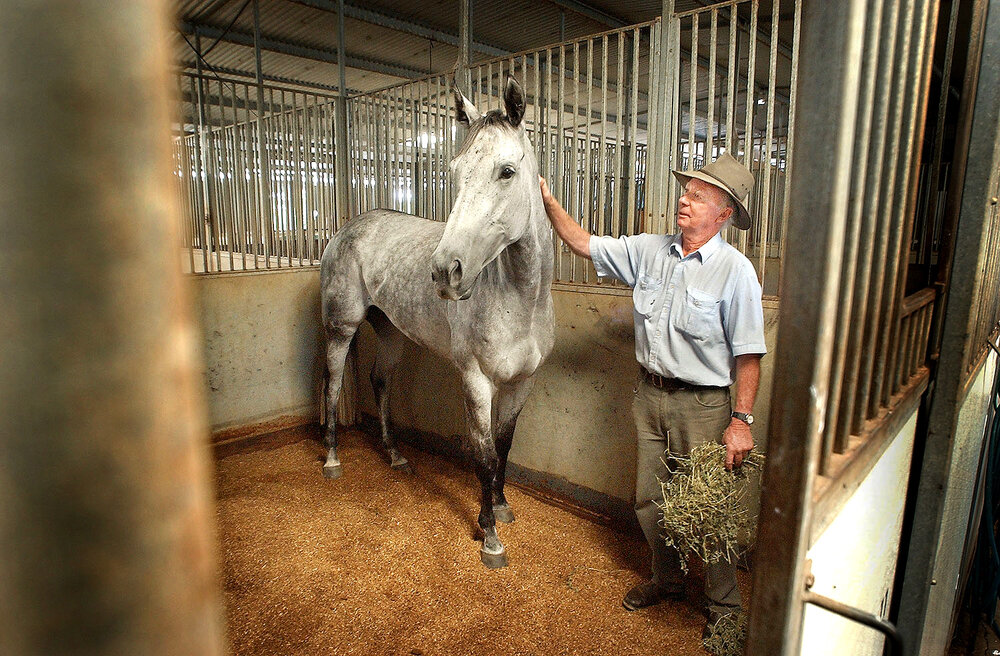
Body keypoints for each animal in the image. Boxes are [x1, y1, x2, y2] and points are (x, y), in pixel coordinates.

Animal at [318, 76, 554, 568]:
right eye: (455, 171)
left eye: (506, 171)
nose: (446, 271)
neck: (522, 301)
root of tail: (349, 226)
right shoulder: (476, 380)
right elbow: (483, 455)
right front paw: (489, 537)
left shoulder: (522, 381)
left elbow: (504, 445)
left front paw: (502, 507)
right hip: (341, 328)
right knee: (333, 383)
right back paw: (332, 459)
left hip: (391, 333)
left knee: (380, 381)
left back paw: (394, 455)